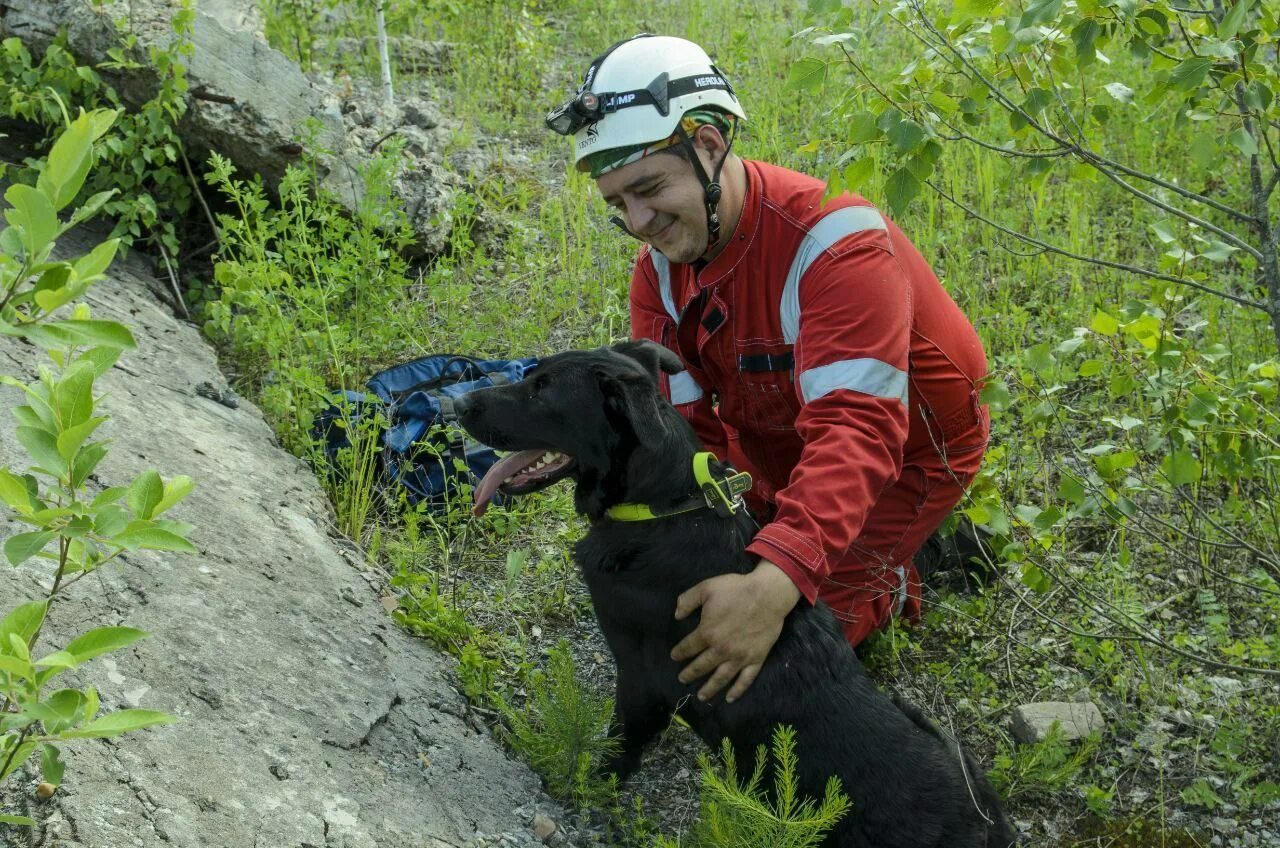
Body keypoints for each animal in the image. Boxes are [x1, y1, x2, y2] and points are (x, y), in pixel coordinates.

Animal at [455, 343, 1013, 845]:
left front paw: (584, 785)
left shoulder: (642, 681)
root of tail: (988, 826)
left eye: (543, 390)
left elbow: (616, 752)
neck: (662, 508)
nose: (457, 404)